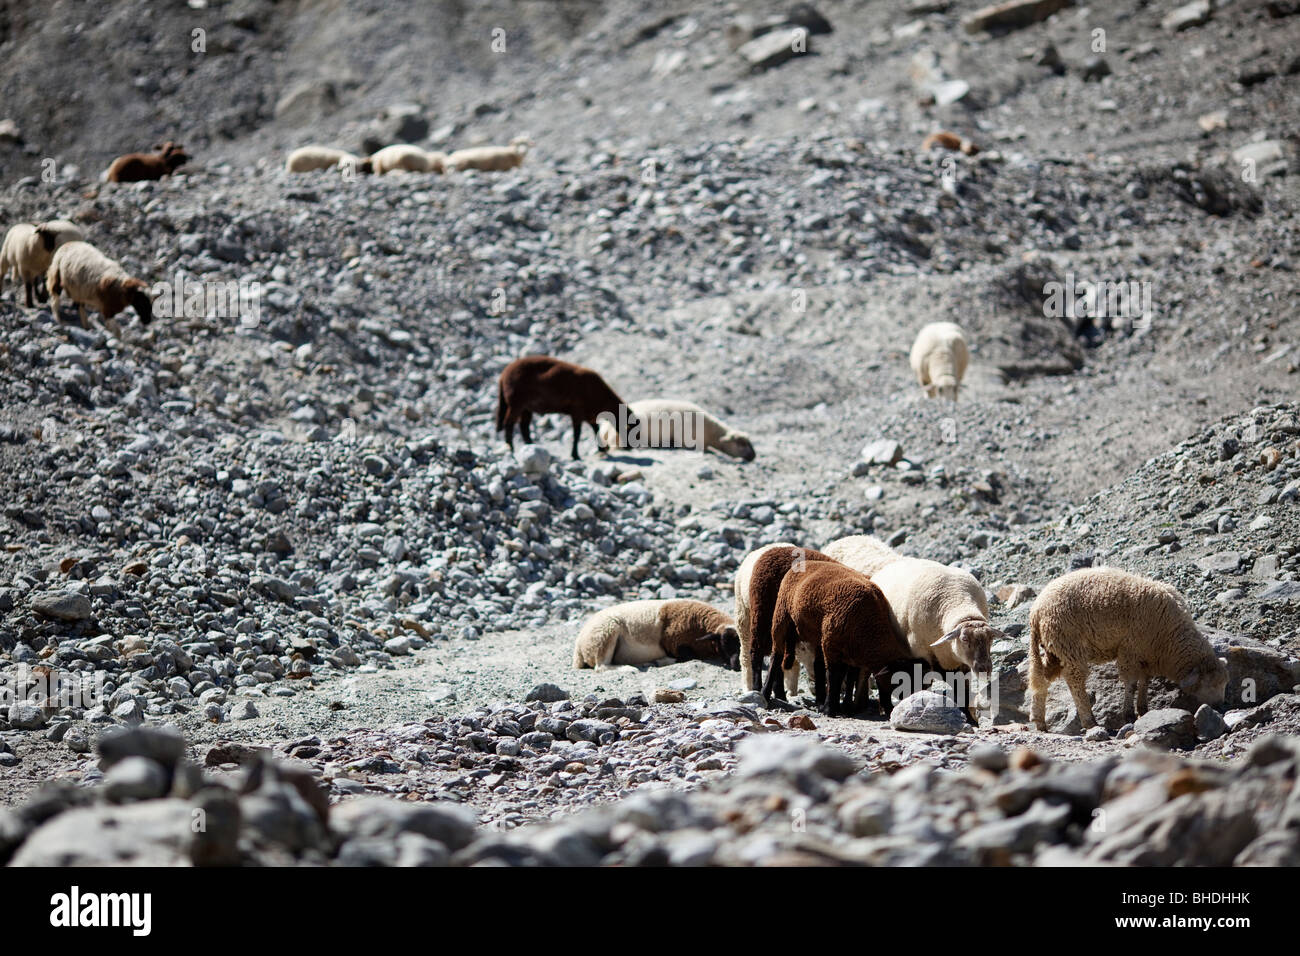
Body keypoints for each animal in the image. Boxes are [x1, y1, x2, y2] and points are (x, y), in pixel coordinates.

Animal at [496, 355, 638, 460]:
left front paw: (602, 449)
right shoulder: (577, 412)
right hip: (516, 404)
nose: (630, 447)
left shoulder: (589, 415)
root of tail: (503, 375)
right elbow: (577, 434)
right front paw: (575, 455)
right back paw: (511, 448)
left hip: (526, 407)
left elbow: (596, 429)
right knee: (509, 423)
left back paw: (531, 445)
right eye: (629, 427)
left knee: (524, 427)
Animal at [573, 599, 740, 669]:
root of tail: (579, 646)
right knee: (601, 667)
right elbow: (688, 657)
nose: (738, 665)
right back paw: (633, 668)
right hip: (606, 633)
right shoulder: (675, 644)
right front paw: (665, 661)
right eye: (724, 644)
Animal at [761, 561, 918, 717]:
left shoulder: (851, 652)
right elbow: (834, 676)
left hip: (818, 634)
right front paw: (830, 709)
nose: (899, 707)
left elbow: (848, 678)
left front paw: (843, 706)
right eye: (901, 681)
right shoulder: (832, 645)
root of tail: (804, 562)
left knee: (817, 665)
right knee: (776, 656)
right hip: (781, 615)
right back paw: (765, 694)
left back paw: (820, 701)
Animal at [1027, 567, 1229, 732]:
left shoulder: (1146, 655)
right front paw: (1129, 714)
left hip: (1054, 648)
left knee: (1042, 679)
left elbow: (1145, 681)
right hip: (1069, 644)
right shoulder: (1130, 649)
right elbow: (1131, 683)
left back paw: (1039, 721)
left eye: (1224, 683)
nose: (1221, 706)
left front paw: (1143, 709)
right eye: (1210, 684)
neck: (1170, 637)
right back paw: (1089, 721)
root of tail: (1036, 610)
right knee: (1074, 680)